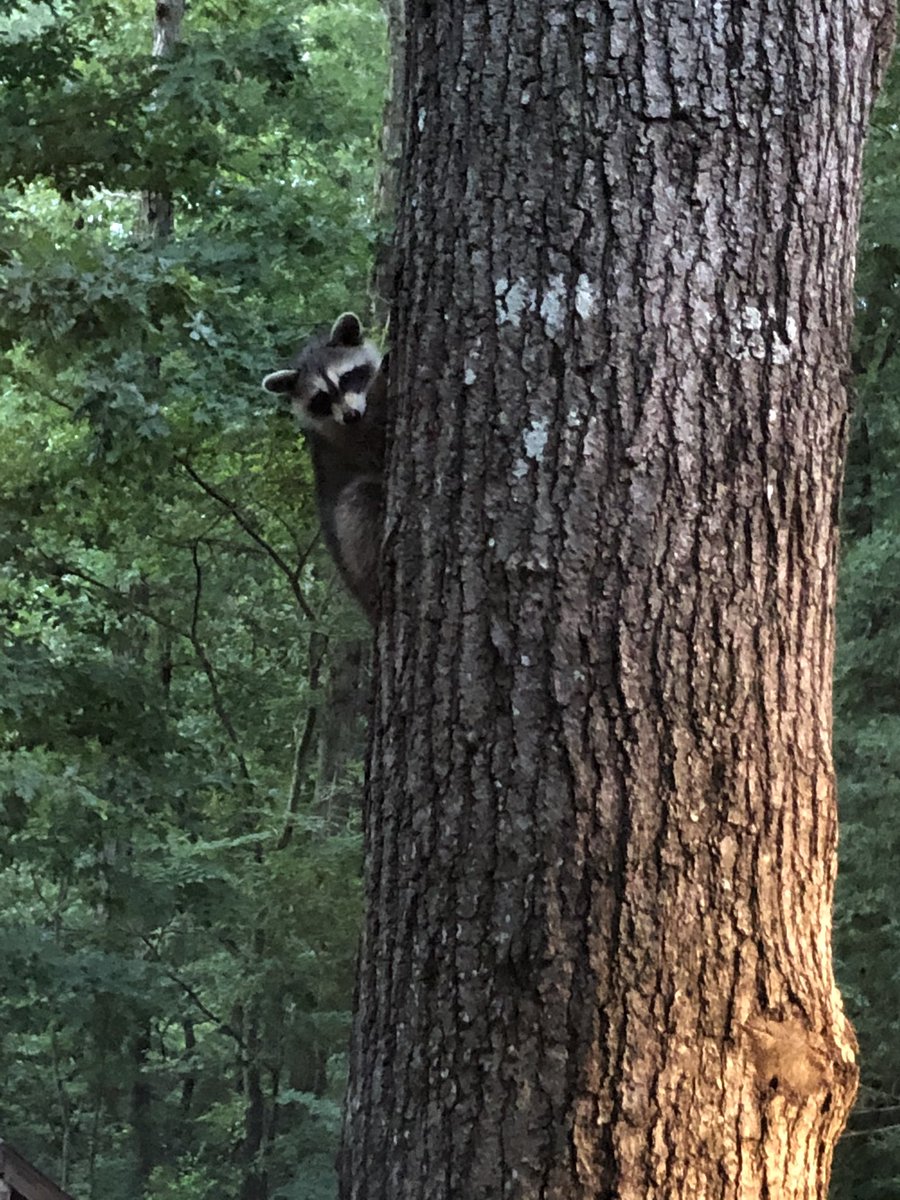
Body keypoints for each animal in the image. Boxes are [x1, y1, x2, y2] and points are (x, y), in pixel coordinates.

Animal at [262, 313, 387, 622]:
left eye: (346, 378)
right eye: (321, 398)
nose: (351, 415)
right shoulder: (348, 439)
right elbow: (376, 446)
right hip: (353, 553)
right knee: (360, 498)